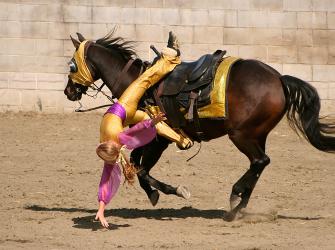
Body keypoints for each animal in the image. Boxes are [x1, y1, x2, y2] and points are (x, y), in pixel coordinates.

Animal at [63, 31, 335, 221]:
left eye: (72, 65)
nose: (68, 92)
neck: (138, 83)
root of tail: (279, 79)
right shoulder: (152, 139)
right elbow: (137, 164)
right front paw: (157, 192)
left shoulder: (159, 140)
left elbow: (142, 169)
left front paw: (169, 191)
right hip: (257, 135)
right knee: (259, 164)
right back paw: (238, 206)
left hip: (241, 135)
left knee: (260, 161)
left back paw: (235, 199)